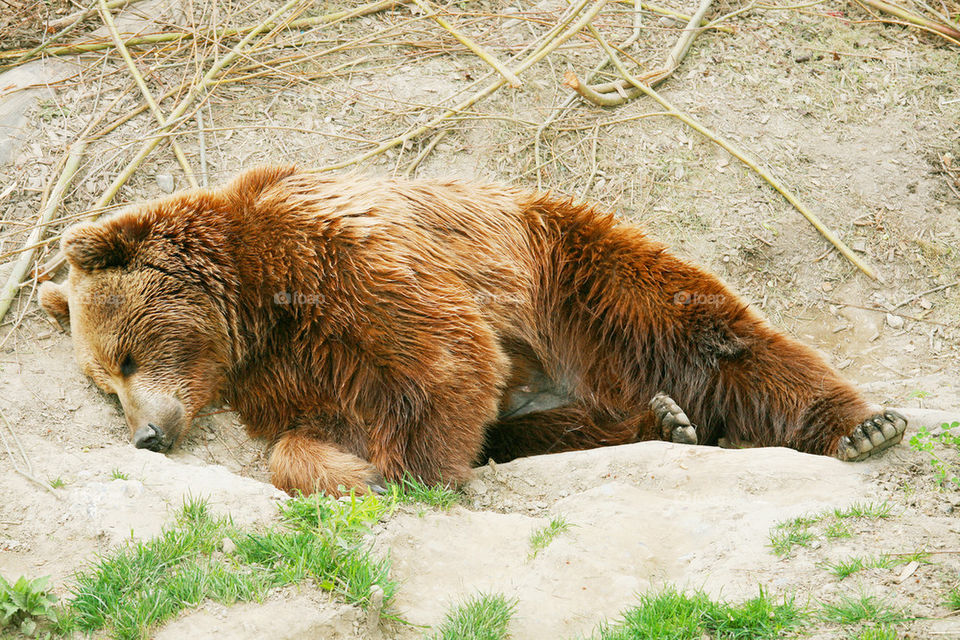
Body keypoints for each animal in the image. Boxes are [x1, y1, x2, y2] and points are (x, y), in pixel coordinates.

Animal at [39, 165, 907, 496]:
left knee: (708, 336)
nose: (148, 436)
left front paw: (410, 473)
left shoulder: (337, 262)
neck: (250, 311)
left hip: (573, 278)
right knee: (544, 425)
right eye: (102, 384)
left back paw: (863, 425)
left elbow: (438, 352)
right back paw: (667, 422)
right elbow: (306, 436)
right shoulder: (288, 373)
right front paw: (349, 470)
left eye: (123, 357)